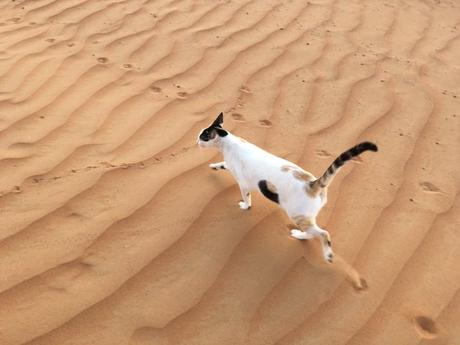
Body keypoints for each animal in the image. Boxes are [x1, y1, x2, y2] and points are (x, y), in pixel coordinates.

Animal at [198, 111, 378, 262]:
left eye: (203, 136)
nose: (196, 140)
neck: (229, 142)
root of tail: (313, 184)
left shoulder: (243, 183)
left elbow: (246, 199)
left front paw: (245, 206)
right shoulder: (230, 165)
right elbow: (222, 164)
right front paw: (213, 166)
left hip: (297, 215)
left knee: (322, 233)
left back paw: (321, 251)